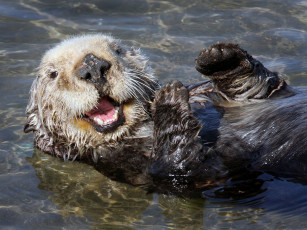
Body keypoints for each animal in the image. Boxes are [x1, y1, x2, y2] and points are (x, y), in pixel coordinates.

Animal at [24, 33, 307, 190]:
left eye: (118, 50)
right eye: (52, 74)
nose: (93, 66)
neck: (142, 130)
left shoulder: (225, 95)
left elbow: (258, 84)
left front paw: (217, 56)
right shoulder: (131, 166)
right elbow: (183, 168)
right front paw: (168, 99)